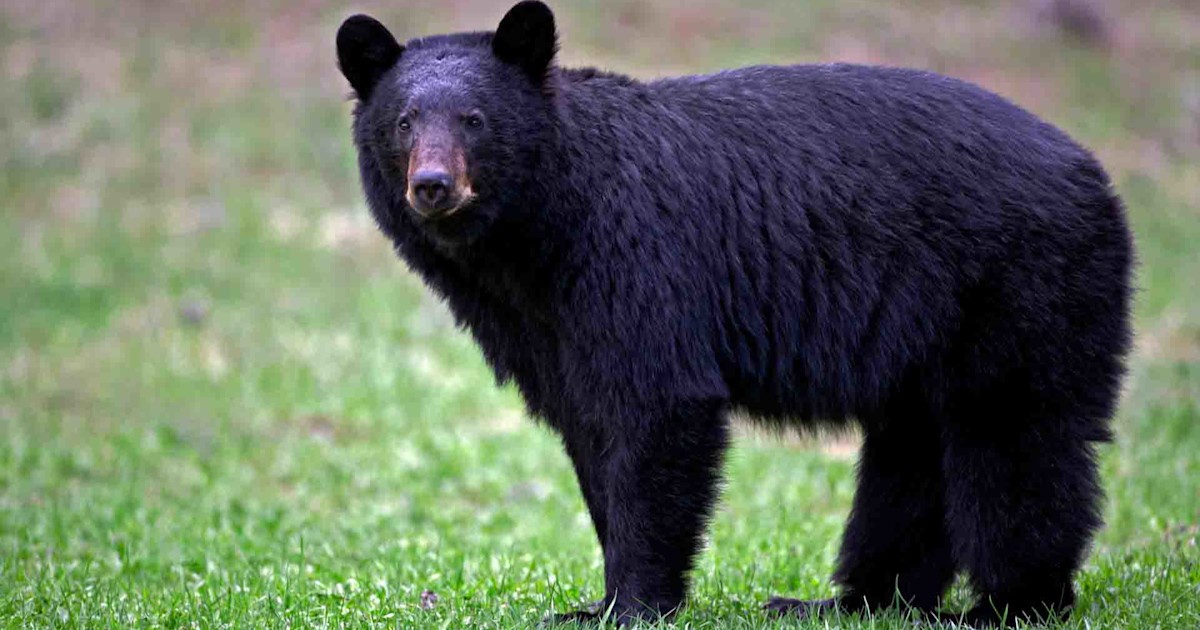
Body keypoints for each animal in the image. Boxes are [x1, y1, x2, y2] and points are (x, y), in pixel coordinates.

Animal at [336, 1, 1133, 626]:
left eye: (474, 120)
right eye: (404, 122)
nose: (433, 186)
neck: (535, 235)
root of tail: (1096, 174)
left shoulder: (639, 259)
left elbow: (659, 409)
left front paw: (634, 604)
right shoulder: (542, 328)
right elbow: (589, 430)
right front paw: (592, 603)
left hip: (1018, 287)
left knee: (1012, 439)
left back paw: (1007, 604)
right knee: (912, 453)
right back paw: (847, 601)